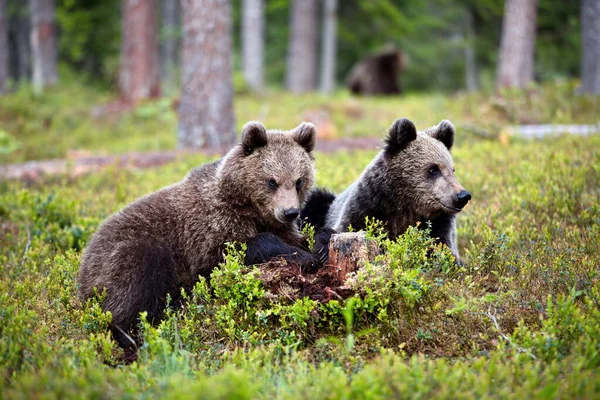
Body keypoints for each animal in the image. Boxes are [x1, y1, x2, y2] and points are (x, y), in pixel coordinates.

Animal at [77, 119, 330, 360]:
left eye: (298, 181)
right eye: (271, 181)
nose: (290, 212)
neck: (250, 209)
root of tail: (82, 267)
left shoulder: (278, 225)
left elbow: (301, 237)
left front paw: (320, 246)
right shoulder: (208, 227)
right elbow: (227, 251)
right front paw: (304, 258)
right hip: (119, 257)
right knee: (135, 281)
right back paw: (130, 338)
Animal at [302, 117, 472, 262]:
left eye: (452, 170)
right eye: (433, 169)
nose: (462, 196)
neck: (405, 205)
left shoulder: (439, 224)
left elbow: (444, 251)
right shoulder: (368, 207)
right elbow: (345, 227)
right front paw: (323, 249)